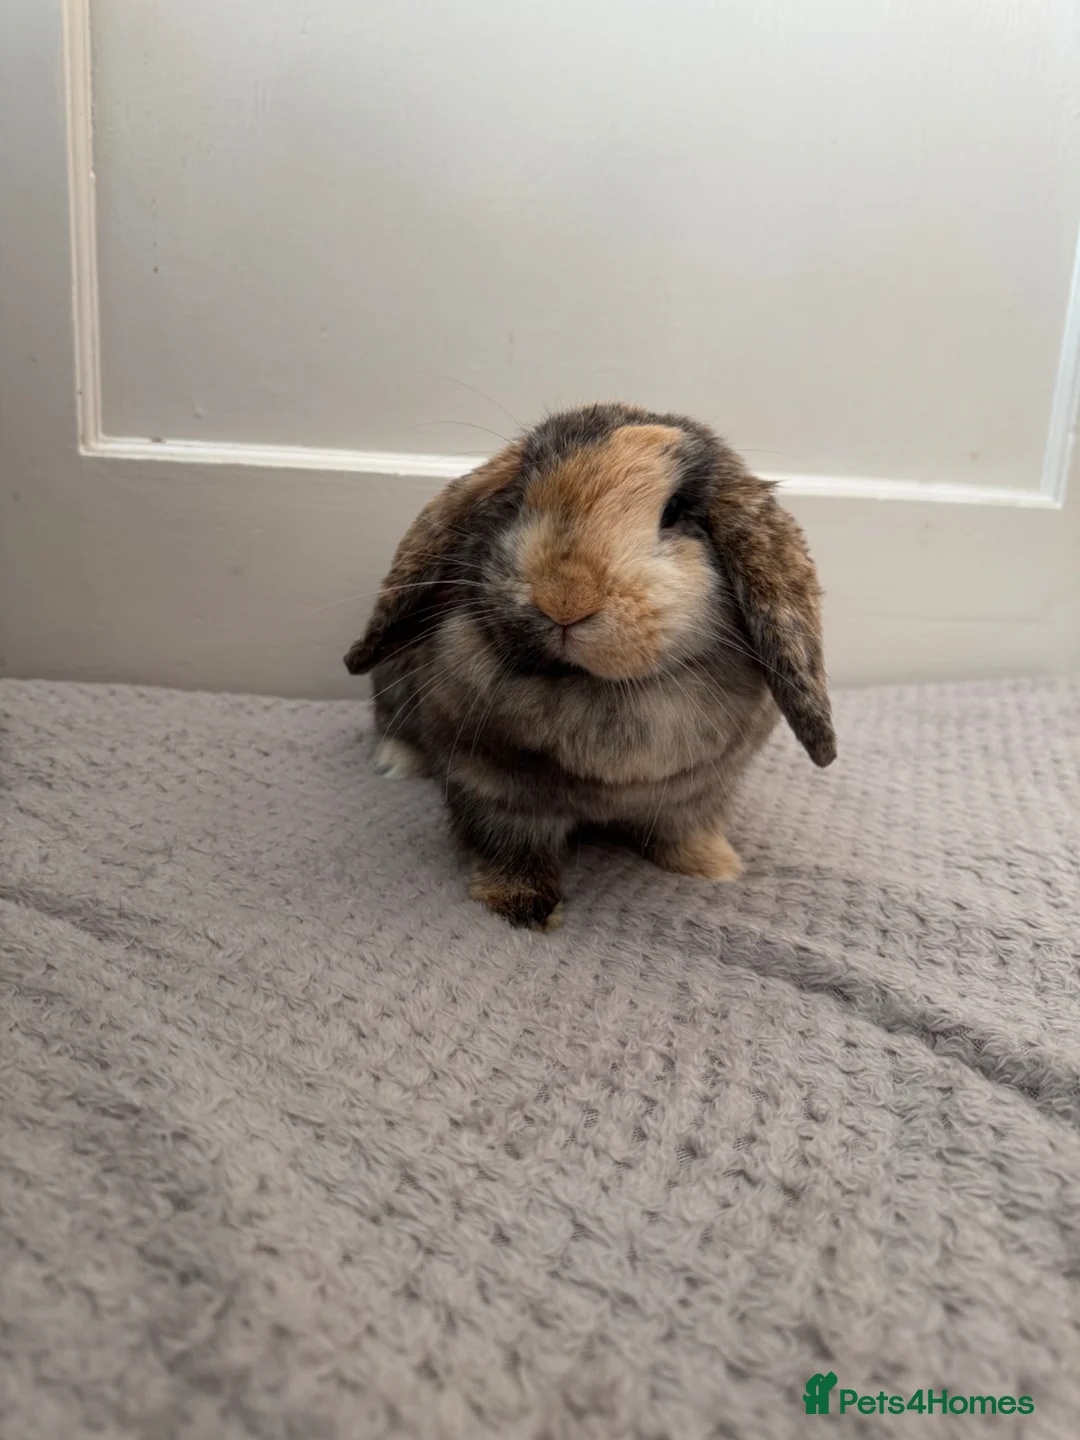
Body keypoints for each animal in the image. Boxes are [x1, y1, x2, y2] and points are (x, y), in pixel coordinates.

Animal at [345, 402, 835, 930]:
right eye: (518, 499)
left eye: (675, 512)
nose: (565, 598)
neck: (604, 689)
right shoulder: (491, 787)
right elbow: (511, 850)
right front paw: (523, 908)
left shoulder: (699, 794)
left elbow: (685, 832)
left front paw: (714, 867)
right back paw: (397, 762)